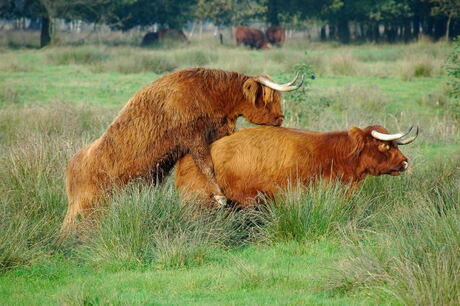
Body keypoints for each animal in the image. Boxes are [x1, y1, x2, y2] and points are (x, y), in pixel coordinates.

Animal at [60, 67, 306, 239]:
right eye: (268, 98)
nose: (281, 118)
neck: (208, 94)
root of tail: (72, 165)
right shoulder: (192, 136)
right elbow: (206, 165)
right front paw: (219, 196)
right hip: (88, 203)